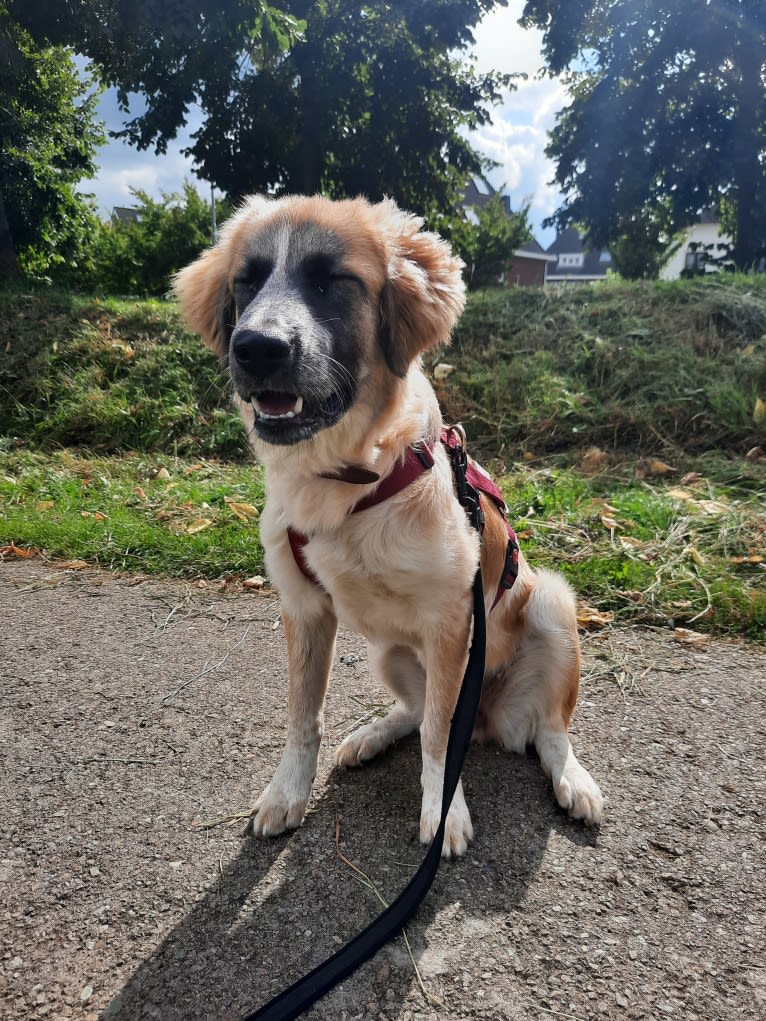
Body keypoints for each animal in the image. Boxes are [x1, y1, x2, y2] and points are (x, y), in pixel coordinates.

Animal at [175, 195, 604, 857]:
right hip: (392, 655)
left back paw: (573, 781)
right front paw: (287, 793)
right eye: (247, 281)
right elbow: (304, 716)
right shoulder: (304, 609)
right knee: (417, 711)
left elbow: (440, 737)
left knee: (547, 731)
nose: (256, 348)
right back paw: (372, 734)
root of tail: (490, 718)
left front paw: (443, 813)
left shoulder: (452, 622)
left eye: (330, 280)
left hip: (550, 605)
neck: (349, 478)